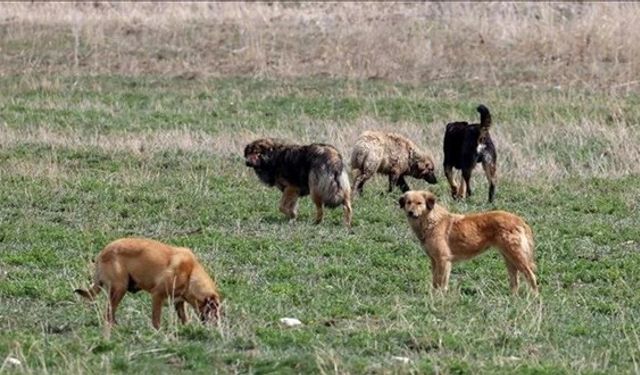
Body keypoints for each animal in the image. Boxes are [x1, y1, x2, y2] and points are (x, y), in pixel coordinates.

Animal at [75, 239, 222, 330]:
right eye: (214, 309)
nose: (217, 325)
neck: (191, 273)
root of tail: (102, 253)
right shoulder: (158, 295)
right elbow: (156, 319)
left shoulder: (178, 302)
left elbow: (184, 319)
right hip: (119, 288)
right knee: (108, 313)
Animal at [398, 192, 536, 296]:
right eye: (408, 202)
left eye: (419, 203)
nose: (410, 212)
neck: (432, 221)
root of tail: (519, 220)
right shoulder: (434, 260)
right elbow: (435, 281)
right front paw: (434, 295)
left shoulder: (443, 260)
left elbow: (441, 281)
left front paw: (440, 296)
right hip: (509, 258)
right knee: (515, 281)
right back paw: (513, 298)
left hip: (516, 256)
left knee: (531, 276)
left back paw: (534, 297)